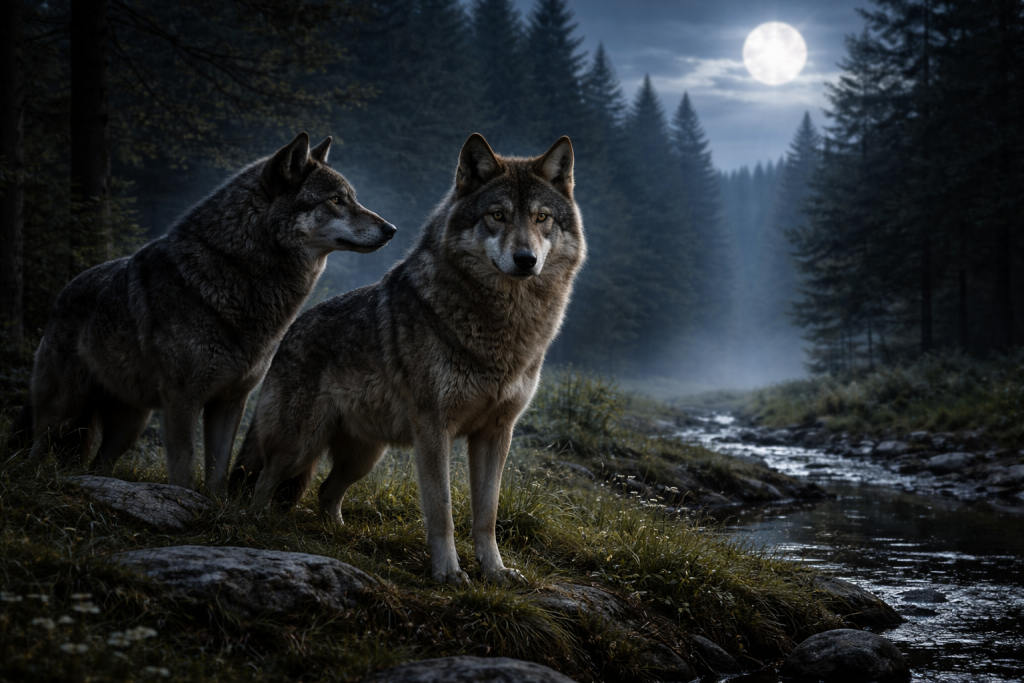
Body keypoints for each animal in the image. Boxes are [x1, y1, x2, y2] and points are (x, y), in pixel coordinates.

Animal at [23, 132, 395, 493]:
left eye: (351, 198)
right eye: (335, 200)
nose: (391, 229)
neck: (236, 276)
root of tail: (67, 289)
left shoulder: (231, 400)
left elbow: (217, 472)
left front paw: (214, 507)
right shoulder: (182, 400)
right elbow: (185, 467)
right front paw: (183, 499)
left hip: (129, 425)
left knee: (99, 463)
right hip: (63, 411)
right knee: (35, 448)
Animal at [229, 133, 586, 585]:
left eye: (542, 218)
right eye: (497, 215)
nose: (526, 260)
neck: (504, 328)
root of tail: (292, 329)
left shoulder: (496, 433)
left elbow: (486, 513)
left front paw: (495, 571)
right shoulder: (434, 429)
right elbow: (442, 510)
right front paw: (448, 572)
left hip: (364, 457)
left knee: (326, 493)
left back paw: (338, 533)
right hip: (300, 444)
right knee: (264, 481)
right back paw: (258, 523)